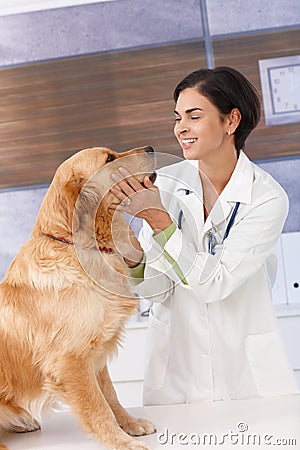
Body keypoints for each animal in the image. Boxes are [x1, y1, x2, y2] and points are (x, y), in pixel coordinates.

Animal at [0, 146, 156, 448]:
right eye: (109, 159)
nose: (151, 148)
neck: (79, 245)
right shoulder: (70, 361)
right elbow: (98, 407)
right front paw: (121, 441)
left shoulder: (95, 352)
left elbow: (111, 396)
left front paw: (130, 425)